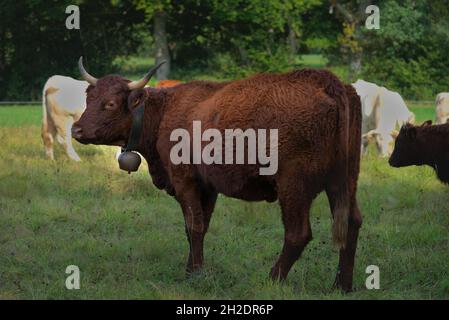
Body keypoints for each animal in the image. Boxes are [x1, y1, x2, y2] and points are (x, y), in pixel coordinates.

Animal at [72, 58, 362, 292]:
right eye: (88, 99)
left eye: (110, 103)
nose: (76, 130)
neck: (165, 111)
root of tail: (329, 82)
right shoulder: (207, 188)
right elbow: (198, 227)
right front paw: (193, 269)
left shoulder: (185, 181)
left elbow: (194, 226)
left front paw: (194, 274)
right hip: (344, 182)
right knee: (352, 223)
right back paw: (341, 286)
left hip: (294, 187)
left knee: (297, 233)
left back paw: (270, 280)